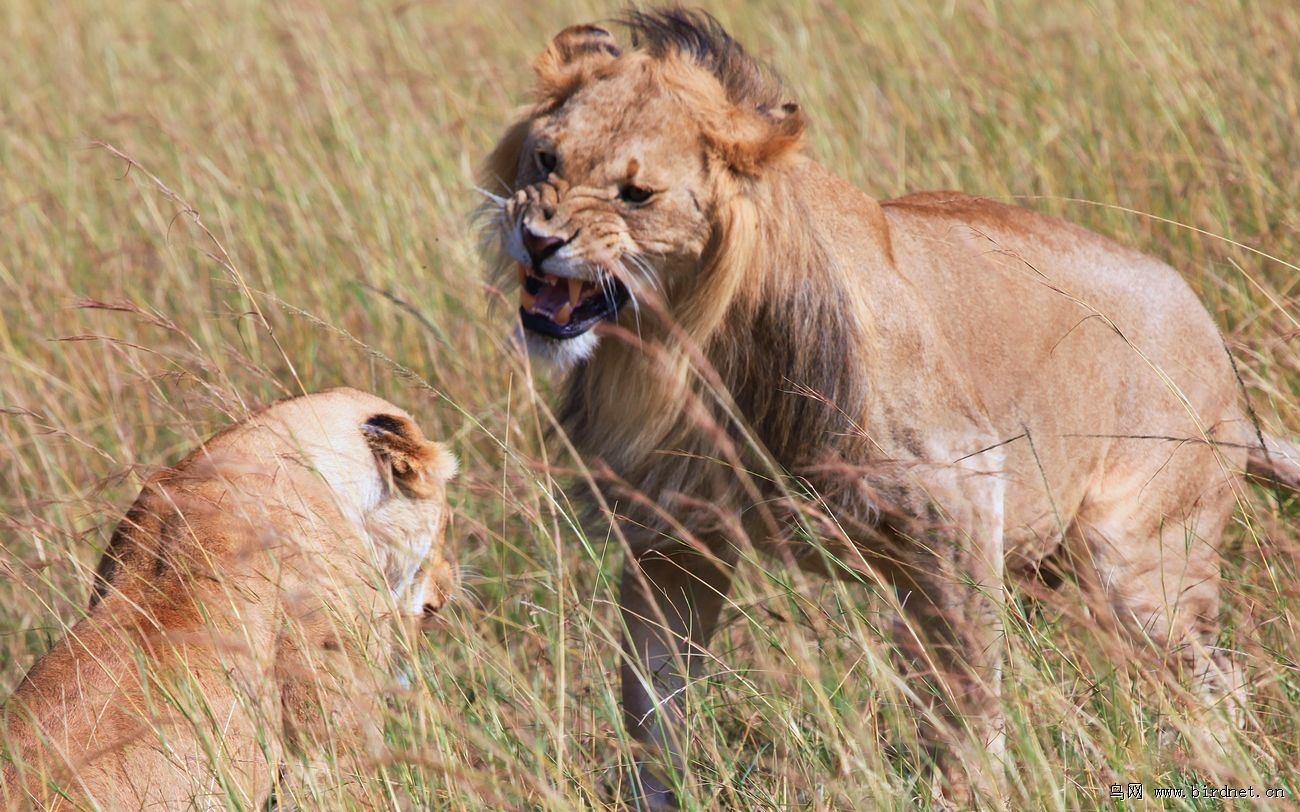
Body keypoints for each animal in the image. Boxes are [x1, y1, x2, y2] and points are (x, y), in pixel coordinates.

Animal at [480, 7, 1300, 810]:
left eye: (636, 195)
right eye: (547, 160)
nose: (538, 239)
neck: (688, 343)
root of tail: (1215, 341)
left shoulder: (962, 502)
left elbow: (970, 696)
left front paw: (971, 794)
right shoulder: (672, 538)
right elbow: (654, 707)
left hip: (1137, 560)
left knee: (1215, 682)